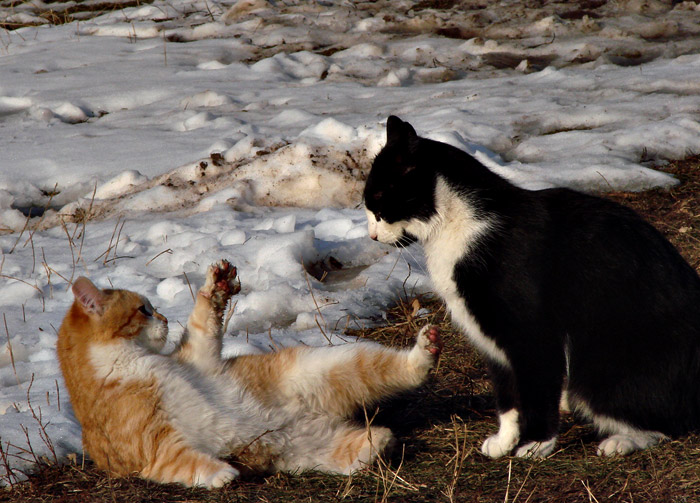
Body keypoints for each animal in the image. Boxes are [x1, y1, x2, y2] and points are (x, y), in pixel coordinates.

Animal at [57, 260, 440, 488]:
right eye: (144, 310)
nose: (165, 319)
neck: (133, 362)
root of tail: (304, 421)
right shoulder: (151, 447)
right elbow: (182, 460)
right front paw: (221, 473)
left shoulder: (199, 355)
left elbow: (203, 321)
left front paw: (216, 284)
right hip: (312, 447)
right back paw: (378, 442)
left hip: (330, 364)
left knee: (400, 371)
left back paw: (423, 353)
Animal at [364, 117, 700, 460]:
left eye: (378, 204)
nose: (372, 236)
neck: (459, 226)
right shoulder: (492, 338)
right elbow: (508, 395)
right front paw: (505, 441)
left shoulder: (532, 333)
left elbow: (536, 389)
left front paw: (537, 443)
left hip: (598, 365)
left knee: (668, 423)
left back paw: (620, 441)